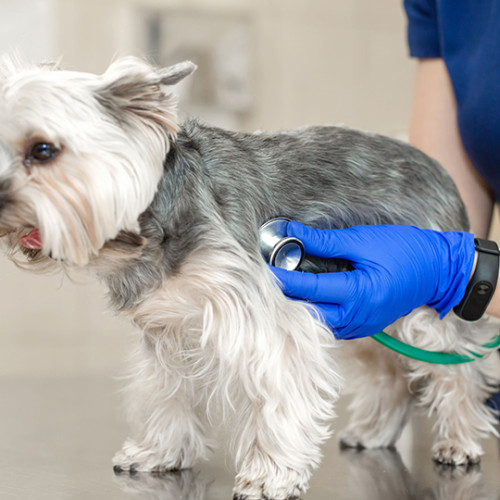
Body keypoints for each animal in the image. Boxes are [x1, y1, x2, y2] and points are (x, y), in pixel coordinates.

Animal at [0, 54, 498, 500]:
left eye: (42, 150)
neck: (144, 224)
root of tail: (434, 166)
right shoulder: (168, 328)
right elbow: (166, 392)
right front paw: (160, 451)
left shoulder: (268, 322)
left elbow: (277, 395)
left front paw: (270, 475)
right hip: (371, 306)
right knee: (391, 371)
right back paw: (375, 430)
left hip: (423, 306)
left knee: (458, 366)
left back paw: (459, 439)